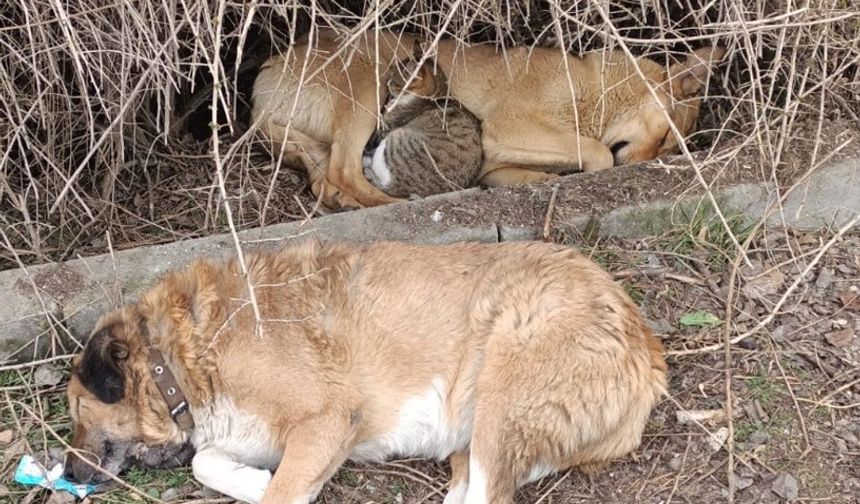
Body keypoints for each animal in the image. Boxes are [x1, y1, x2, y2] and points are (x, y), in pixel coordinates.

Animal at [63, 241, 668, 504]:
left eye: (74, 410)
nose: (65, 473)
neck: (181, 356)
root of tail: (647, 345)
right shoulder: (258, 434)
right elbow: (206, 462)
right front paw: (252, 482)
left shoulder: (328, 419)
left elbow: (275, 490)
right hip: (480, 433)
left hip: (503, 391)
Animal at [362, 46, 484, 197]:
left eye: (395, 81)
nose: (387, 83)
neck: (435, 96)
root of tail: (400, 187)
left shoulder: (385, 128)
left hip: (395, 139)